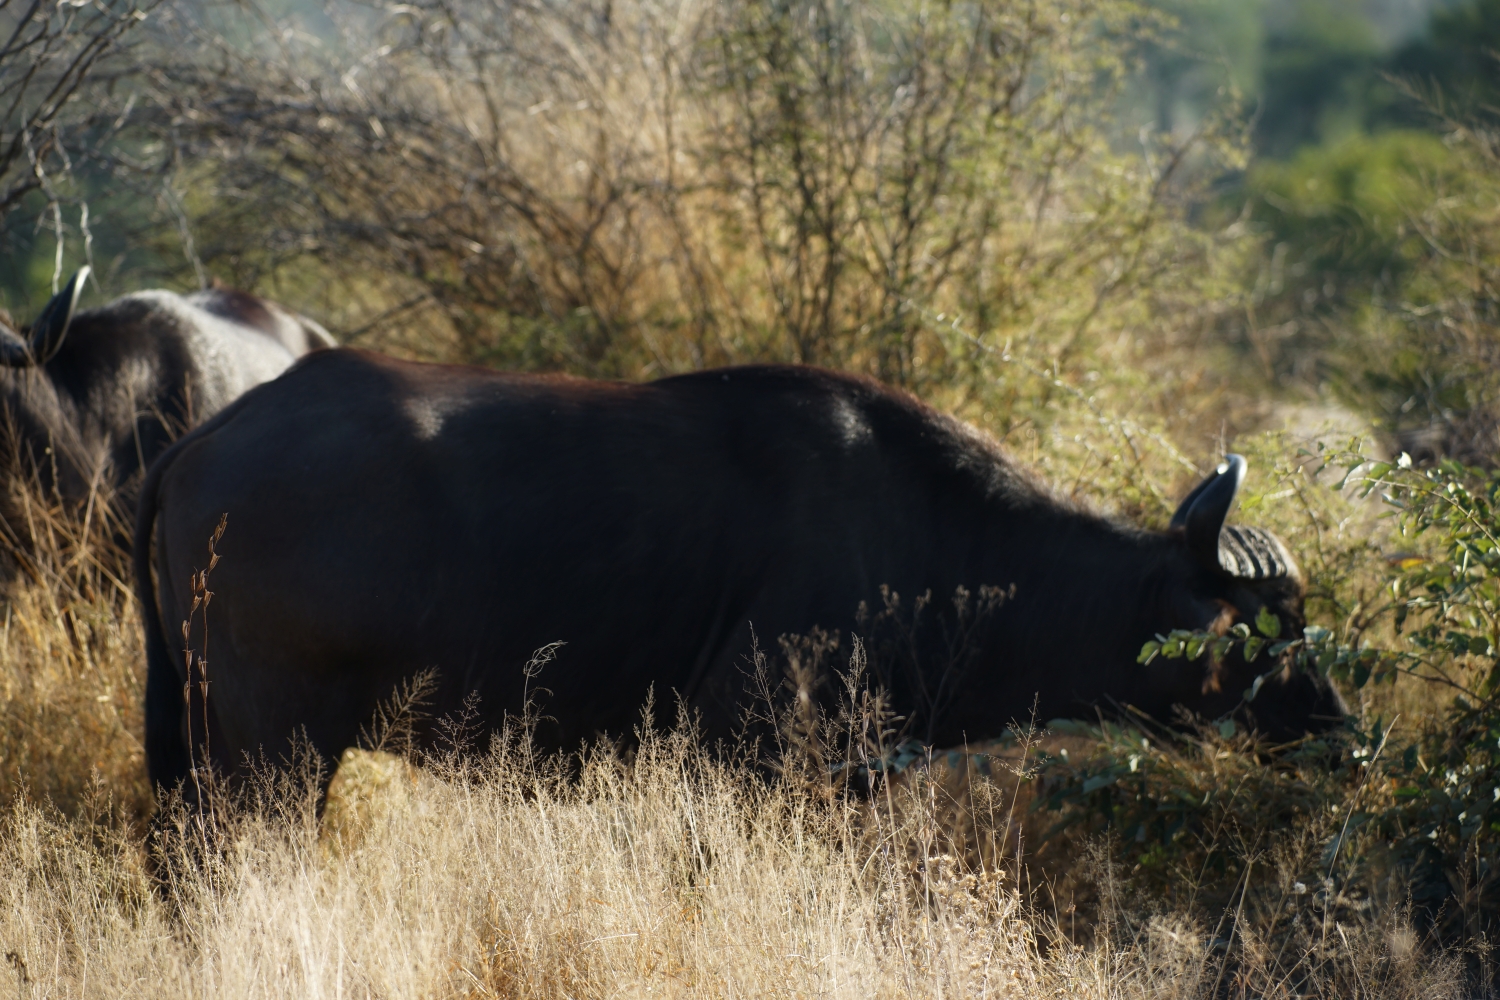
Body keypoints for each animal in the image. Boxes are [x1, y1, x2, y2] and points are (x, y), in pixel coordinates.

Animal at [132, 352, 1350, 791]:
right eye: (1269, 630)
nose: (1347, 733)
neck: (939, 549)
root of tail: (207, 442)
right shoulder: (741, 759)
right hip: (270, 752)